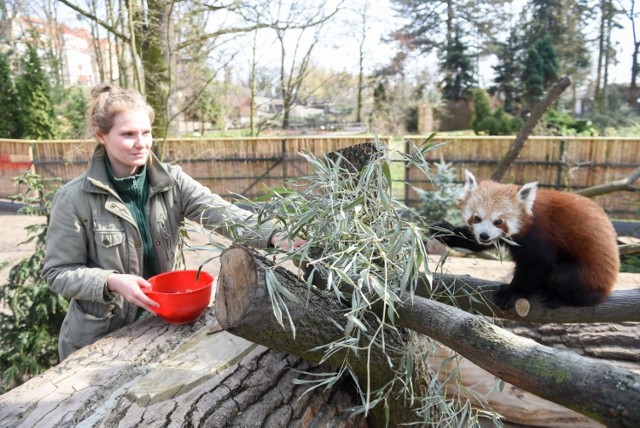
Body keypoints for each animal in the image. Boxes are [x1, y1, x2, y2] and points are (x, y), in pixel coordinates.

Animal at [432, 170, 616, 308]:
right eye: (477, 218)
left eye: (498, 221)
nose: (484, 235)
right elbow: (473, 242)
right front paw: (444, 230)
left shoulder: (537, 236)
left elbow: (536, 265)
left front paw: (511, 292)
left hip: (590, 277)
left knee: (564, 276)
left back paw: (558, 298)